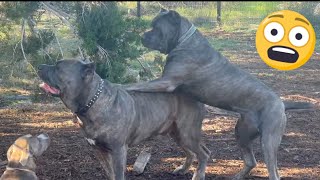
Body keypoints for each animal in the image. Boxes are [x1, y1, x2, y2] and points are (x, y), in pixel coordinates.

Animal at [37, 59, 210, 180]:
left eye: (58, 67)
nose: (39, 66)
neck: (92, 101)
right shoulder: (99, 150)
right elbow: (110, 173)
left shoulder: (118, 150)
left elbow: (119, 174)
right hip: (177, 133)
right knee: (192, 152)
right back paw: (183, 169)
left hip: (186, 132)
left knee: (203, 153)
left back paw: (198, 175)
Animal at [125, 8, 316, 180]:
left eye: (157, 28)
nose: (142, 37)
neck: (184, 40)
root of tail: (282, 103)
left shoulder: (166, 82)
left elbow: (138, 85)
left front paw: (123, 86)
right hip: (242, 133)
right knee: (251, 161)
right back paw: (238, 176)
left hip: (269, 140)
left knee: (273, 171)